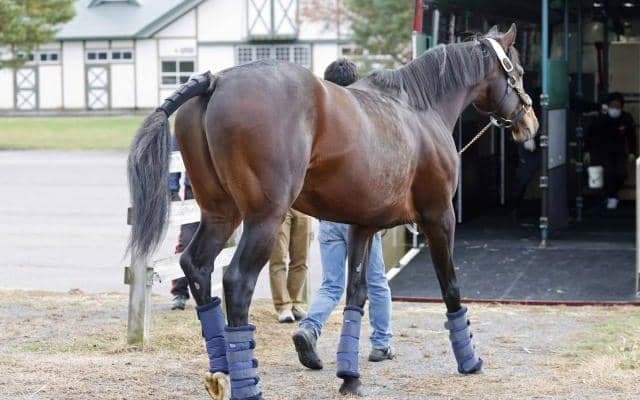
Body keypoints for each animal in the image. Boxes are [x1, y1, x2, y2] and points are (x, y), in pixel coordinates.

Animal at [127, 24, 538, 399]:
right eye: (517, 70)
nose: (530, 122)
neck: (419, 109)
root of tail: (216, 81)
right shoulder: (439, 218)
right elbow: (450, 286)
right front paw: (469, 361)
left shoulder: (363, 226)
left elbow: (356, 296)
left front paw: (350, 376)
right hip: (264, 219)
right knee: (237, 282)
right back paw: (247, 385)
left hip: (220, 215)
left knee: (197, 267)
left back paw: (221, 372)